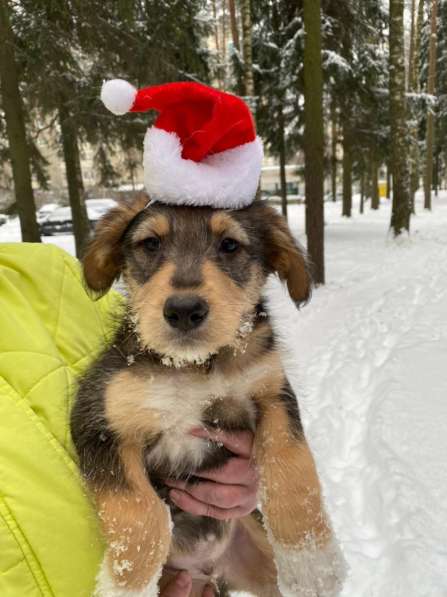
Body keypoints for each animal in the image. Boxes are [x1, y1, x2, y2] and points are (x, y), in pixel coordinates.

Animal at [71, 193, 346, 592]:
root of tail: (211, 567)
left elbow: (291, 464)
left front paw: (313, 561)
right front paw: (124, 587)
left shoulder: (272, 393)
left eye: (229, 245)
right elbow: (141, 512)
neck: (193, 367)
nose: (184, 311)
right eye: (150, 244)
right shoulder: (100, 421)